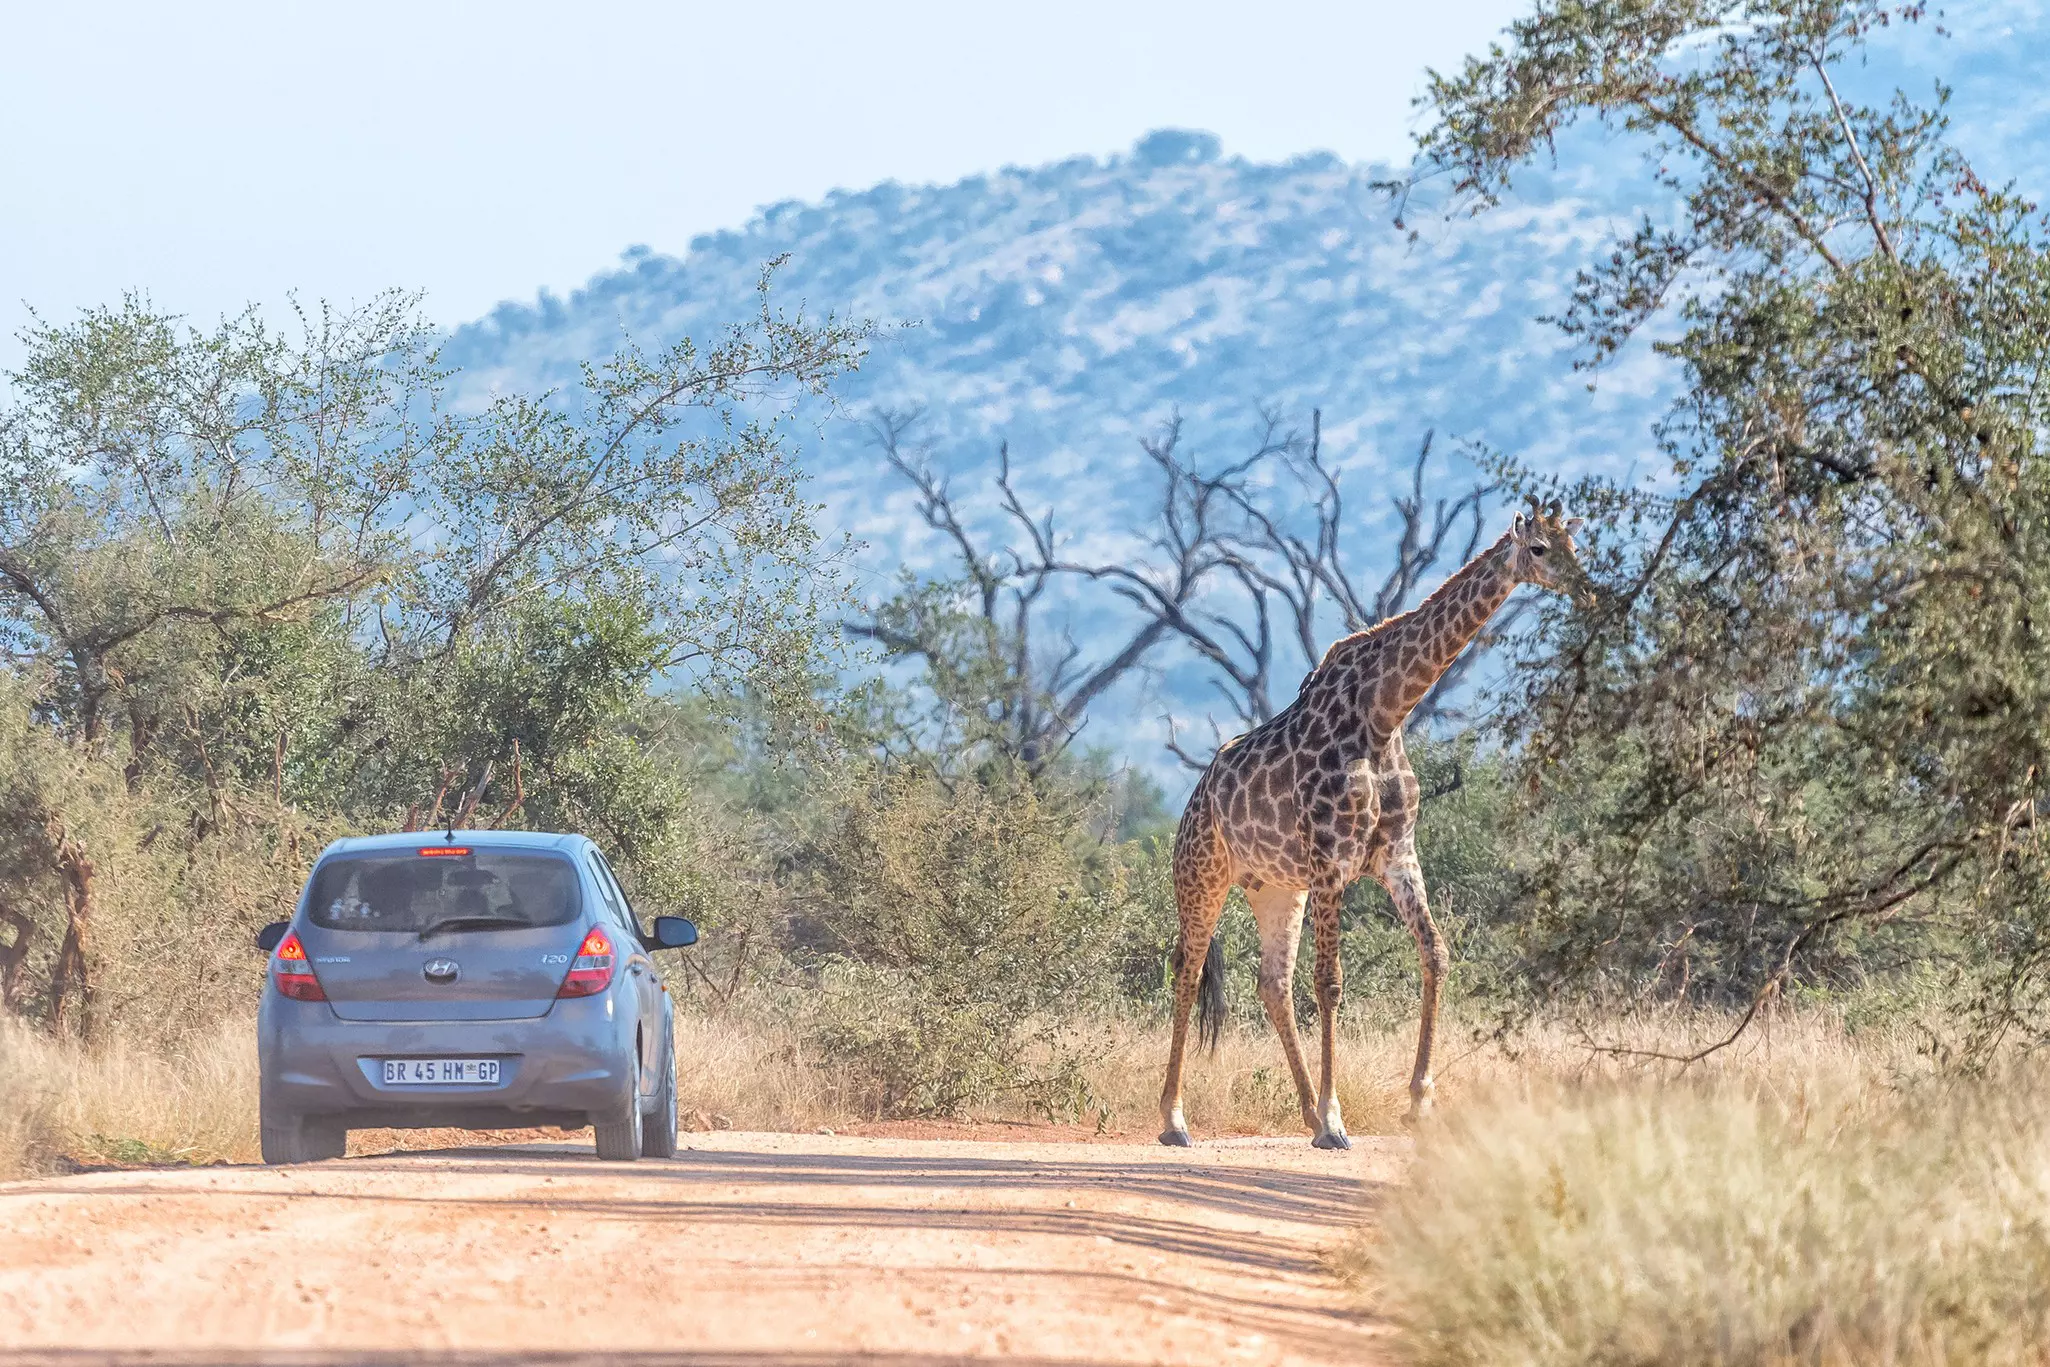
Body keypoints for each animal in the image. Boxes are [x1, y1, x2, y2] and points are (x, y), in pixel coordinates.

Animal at [1157, 506, 1583, 1148]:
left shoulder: (1397, 856)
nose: (1583, 586)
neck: (1384, 712)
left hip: (1277, 888)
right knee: (1187, 969)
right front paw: (1337, 1120)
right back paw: (1176, 1120)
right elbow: (1331, 982)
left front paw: (1419, 1102)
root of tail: (1194, 797)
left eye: (1575, 545)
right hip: (1203, 874)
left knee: (1272, 983)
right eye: (1538, 547)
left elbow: (1436, 954)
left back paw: (1304, 1111)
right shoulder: (1332, 860)